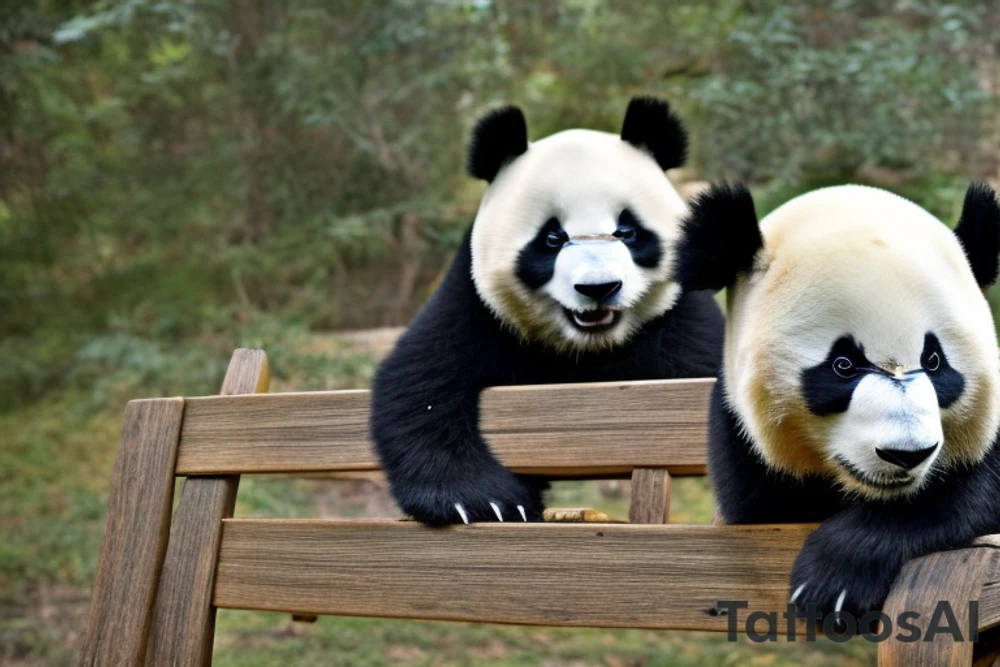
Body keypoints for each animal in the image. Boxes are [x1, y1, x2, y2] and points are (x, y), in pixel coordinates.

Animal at [371, 96, 726, 526]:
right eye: (553, 238)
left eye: (626, 232)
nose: (598, 288)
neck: (587, 350)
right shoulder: (475, 305)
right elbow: (423, 384)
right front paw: (482, 501)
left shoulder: (683, 318)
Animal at [682, 181, 1000, 618]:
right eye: (843, 365)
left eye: (934, 361)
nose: (907, 454)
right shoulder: (742, 449)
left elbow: (964, 494)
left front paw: (833, 581)